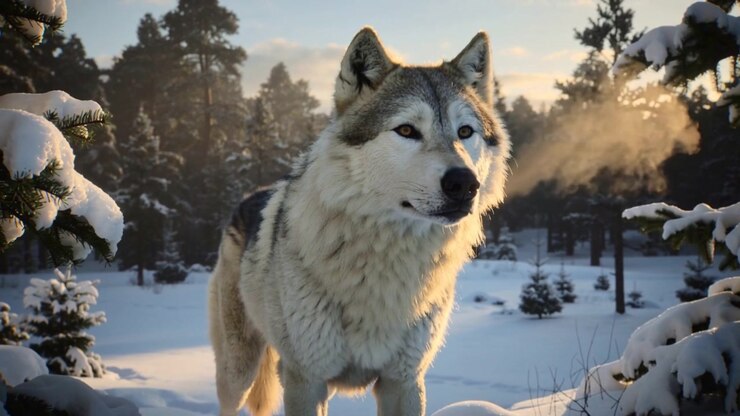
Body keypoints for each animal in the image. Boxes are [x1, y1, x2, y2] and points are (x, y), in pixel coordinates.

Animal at [208, 27, 510, 416]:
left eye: (465, 132)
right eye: (407, 131)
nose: (464, 183)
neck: (385, 263)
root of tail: (250, 196)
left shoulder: (404, 380)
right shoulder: (306, 380)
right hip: (239, 371)